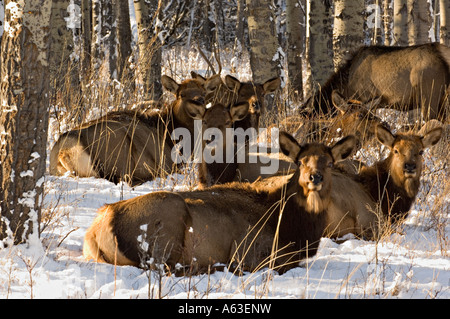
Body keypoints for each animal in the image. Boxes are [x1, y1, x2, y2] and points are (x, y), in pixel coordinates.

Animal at [49, 75, 216, 186]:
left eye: (204, 92)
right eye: (181, 94)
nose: (199, 102)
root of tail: (63, 152)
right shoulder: (170, 163)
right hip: (120, 153)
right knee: (125, 178)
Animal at [82, 132, 356, 276]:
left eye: (329, 163)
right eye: (300, 162)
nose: (314, 178)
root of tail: (96, 229)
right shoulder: (250, 252)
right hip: (165, 226)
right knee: (165, 267)